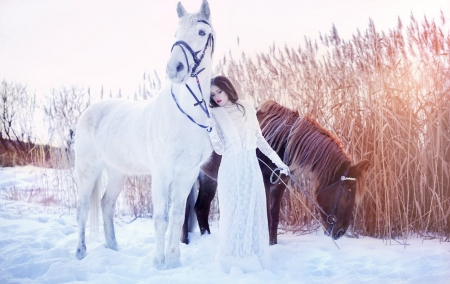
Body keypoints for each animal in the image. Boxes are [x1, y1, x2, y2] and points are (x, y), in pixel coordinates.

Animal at [74, 0, 214, 268]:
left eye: (202, 32)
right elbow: (160, 218)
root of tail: (89, 111)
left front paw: (174, 262)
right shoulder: (161, 173)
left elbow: (177, 216)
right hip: (88, 169)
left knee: (107, 204)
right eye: (175, 34)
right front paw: (159, 263)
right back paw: (80, 253)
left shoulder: (187, 175)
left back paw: (113, 248)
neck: (185, 117)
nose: (174, 69)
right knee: (83, 209)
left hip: (117, 172)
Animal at [181, 100, 370, 244]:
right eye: (348, 192)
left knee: (201, 208)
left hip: (208, 178)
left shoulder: (279, 186)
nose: (340, 232)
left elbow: (274, 217)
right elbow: (266, 217)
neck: (280, 142)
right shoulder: (263, 184)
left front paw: (272, 243)